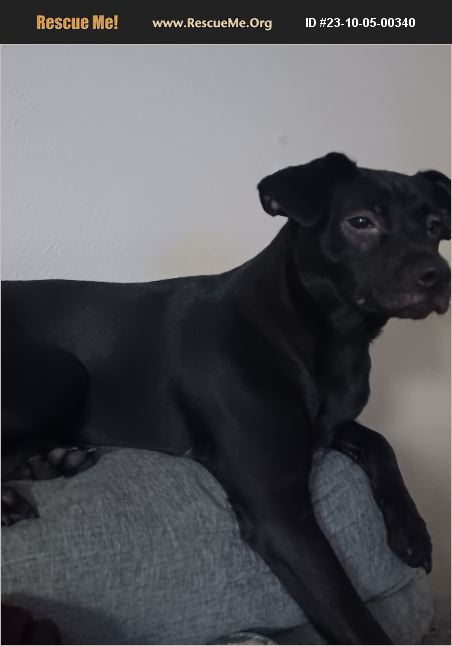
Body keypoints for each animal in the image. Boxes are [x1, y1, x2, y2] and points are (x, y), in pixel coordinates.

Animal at [2, 152, 450, 644]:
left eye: (434, 225)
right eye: (361, 221)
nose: (439, 275)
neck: (320, 337)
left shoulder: (328, 426)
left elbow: (380, 442)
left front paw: (411, 529)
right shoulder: (278, 513)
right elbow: (348, 612)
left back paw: (52, 461)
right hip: (63, 370)